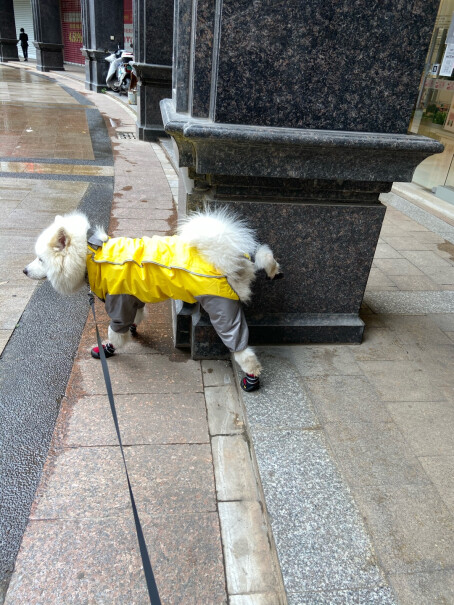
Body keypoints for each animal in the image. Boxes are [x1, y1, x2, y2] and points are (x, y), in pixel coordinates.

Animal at [24, 208, 282, 392]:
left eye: (40, 259)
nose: (24, 271)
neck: (91, 256)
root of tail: (233, 256)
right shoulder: (132, 298)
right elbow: (135, 317)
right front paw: (134, 330)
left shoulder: (118, 303)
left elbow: (115, 332)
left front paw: (107, 349)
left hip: (221, 307)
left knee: (242, 348)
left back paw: (252, 378)